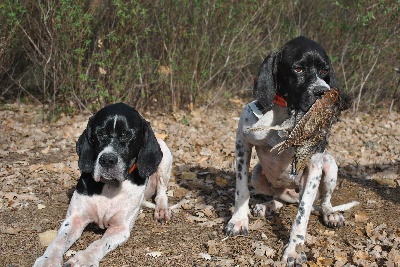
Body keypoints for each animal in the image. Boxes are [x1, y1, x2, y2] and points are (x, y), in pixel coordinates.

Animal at [33, 103, 172, 267]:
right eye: (100, 133)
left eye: (127, 135)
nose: (107, 160)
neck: (110, 186)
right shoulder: (75, 218)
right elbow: (59, 241)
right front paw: (48, 260)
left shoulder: (120, 228)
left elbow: (99, 244)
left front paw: (84, 259)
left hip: (165, 156)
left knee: (161, 192)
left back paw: (162, 209)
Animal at [225, 36, 356, 266]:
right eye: (298, 69)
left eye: (324, 70)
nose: (324, 92)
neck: (285, 113)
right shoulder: (242, 143)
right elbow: (241, 189)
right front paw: (239, 220)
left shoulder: (314, 164)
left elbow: (302, 215)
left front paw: (294, 249)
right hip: (258, 174)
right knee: (279, 199)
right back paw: (266, 206)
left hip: (329, 165)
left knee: (323, 202)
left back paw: (330, 214)